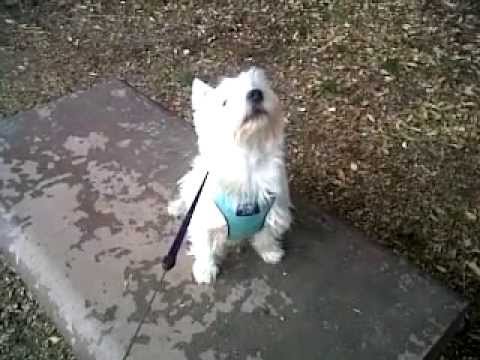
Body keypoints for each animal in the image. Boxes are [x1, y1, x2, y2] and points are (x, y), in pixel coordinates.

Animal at [167, 66, 290, 282]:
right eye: (224, 102)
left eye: (258, 86)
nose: (256, 94)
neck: (247, 160)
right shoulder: (205, 219)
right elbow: (205, 245)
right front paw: (205, 270)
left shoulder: (273, 212)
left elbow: (265, 235)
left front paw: (271, 252)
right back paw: (176, 207)